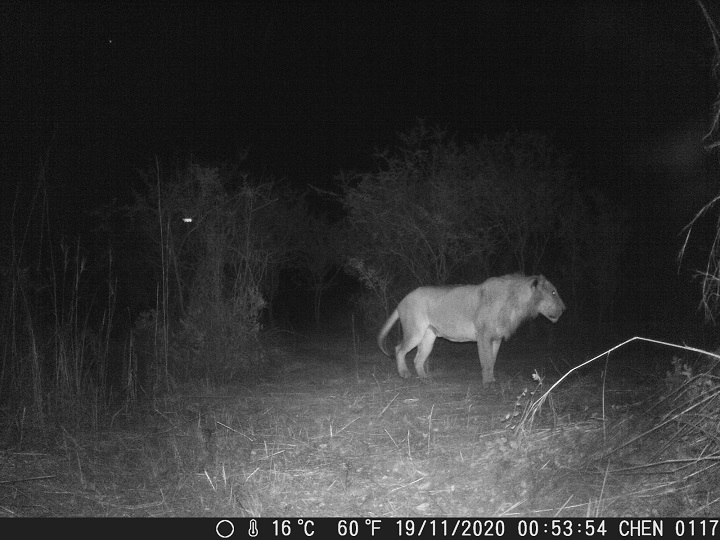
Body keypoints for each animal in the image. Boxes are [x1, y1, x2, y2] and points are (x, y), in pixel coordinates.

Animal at [374, 274, 564, 384]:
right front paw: (488, 383)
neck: (516, 303)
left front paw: (492, 379)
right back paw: (404, 374)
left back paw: (425, 378)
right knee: (399, 349)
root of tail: (403, 299)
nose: (564, 309)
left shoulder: (496, 338)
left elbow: (492, 360)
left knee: (418, 359)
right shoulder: (483, 335)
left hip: (429, 336)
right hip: (415, 332)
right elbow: (486, 360)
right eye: (554, 292)